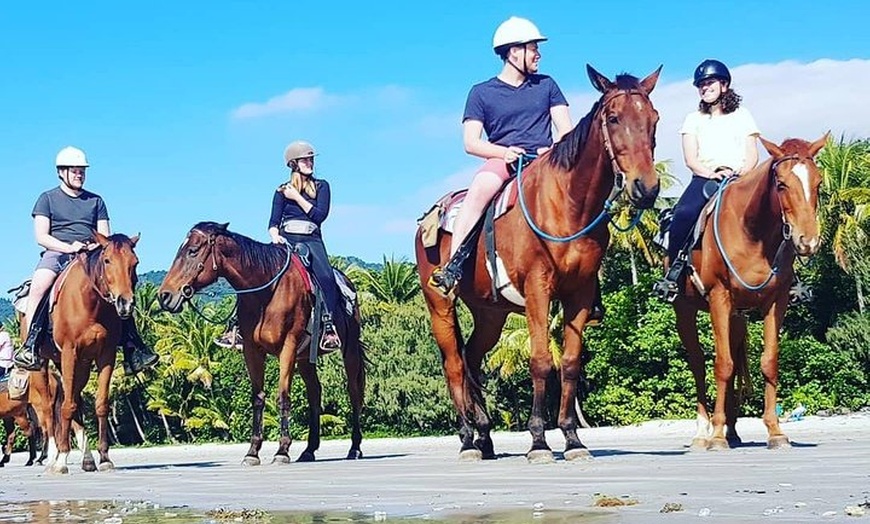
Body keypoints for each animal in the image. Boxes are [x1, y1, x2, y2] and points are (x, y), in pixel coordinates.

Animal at [37, 231, 141, 472]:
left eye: (135, 263)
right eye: (107, 260)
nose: (125, 303)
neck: (90, 303)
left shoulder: (106, 354)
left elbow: (100, 404)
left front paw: (104, 457)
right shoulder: (69, 352)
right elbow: (66, 407)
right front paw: (61, 461)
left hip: (80, 365)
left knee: (75, 400)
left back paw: (86, 458)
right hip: (44, 366)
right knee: (49, 410)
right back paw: (54, 456)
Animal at [158, 221, 366, 462]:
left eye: (192, 251)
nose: (164, 296)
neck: (267, 292)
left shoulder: (288, 346)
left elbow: (282, 396)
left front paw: (282, 450)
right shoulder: (252, 350)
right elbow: (257, 398)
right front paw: (253, 451)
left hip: (349, 350)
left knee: (353, 391)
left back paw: (355, 447)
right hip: (306, 358)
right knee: (315, 393)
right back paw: (309, 450)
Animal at [418, 65, 664, 462]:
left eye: (654, 119)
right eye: (613, 118)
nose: (647, 188)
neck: (567, 204)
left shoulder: (579, 293)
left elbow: (570, 363)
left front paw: (573, 439)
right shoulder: (538, 289)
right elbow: (540, 361)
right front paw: (538, 440)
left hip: (490, 312)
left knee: (471, 358)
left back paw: (484, 435)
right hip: (439, 304)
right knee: (454, 365)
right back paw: (469, 439)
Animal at [676, 134, 832, 450]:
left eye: (819, 182)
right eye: (781, 184)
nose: (807, 241)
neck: (752, 233)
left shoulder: (776, 301)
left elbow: (768, 362)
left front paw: (775, 431)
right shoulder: (718, 298)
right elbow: (721, 364)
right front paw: (716, 435)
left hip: (737, 317)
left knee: (735, 361)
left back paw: (733, 432)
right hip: (685, 310)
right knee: (698, 363)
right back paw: (703, 432)